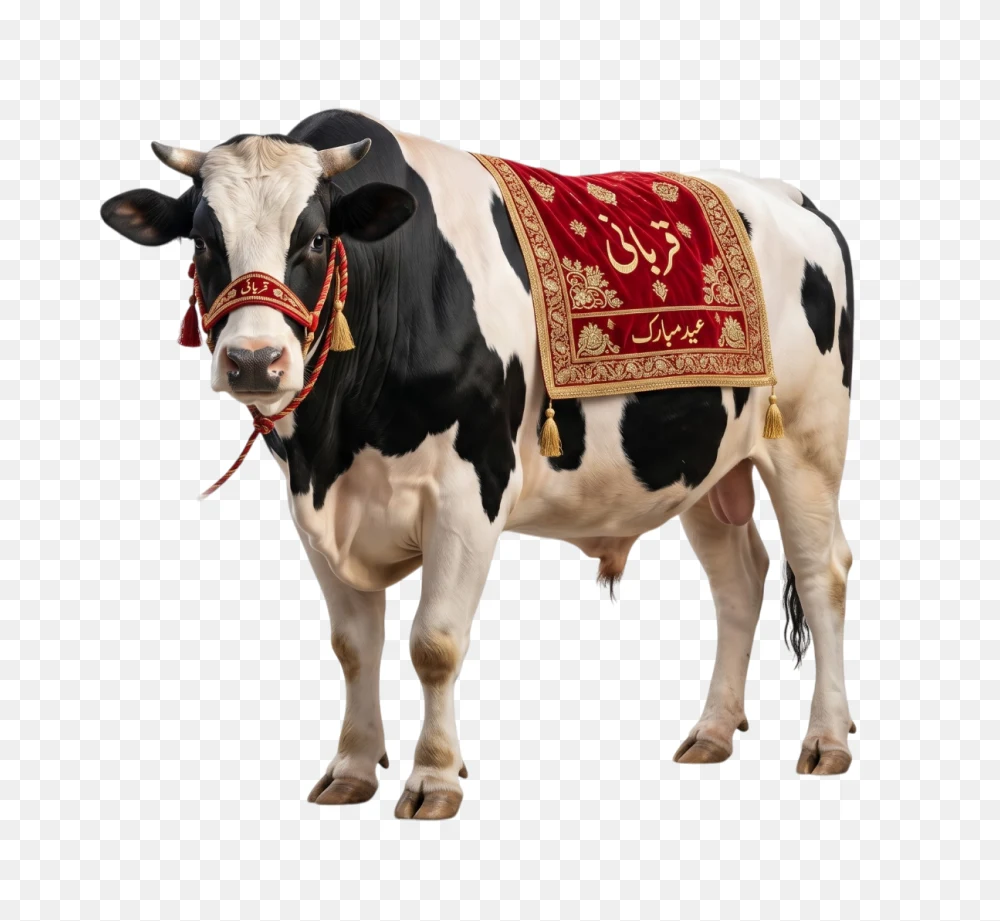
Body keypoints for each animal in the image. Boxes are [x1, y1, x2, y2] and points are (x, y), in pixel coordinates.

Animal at [101, 109, 856, 819]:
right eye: (204, 240)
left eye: (314, 238)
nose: (254, 360)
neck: (336, 435)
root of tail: (789, 195)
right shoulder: (317, 506)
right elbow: (353, 646)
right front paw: (351, 769)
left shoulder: (470, 492)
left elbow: (433, 643)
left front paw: (433, 776)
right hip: (705, 465)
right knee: (740, 582)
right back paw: (713, 731)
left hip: (807, 443)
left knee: (822, 572)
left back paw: (827, 739)